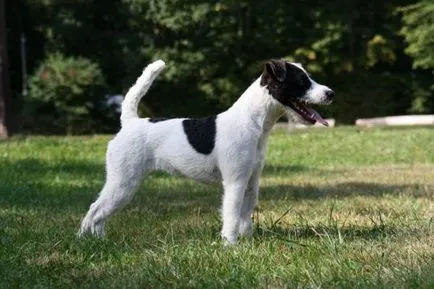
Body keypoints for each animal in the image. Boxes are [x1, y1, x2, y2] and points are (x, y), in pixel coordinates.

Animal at [78, 58, 334, 243]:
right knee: (94, 210)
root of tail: (130, 122)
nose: (330, 93)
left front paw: (248, 240)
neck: (252, 122)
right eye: (301, 80)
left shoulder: (251, 182)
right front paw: (230, 245)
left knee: (99, 215)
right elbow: (231, 215)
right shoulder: (234, 182)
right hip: (123, 182)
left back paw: (99, 240)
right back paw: (83, 241)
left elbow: (245, 216)